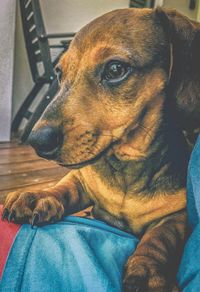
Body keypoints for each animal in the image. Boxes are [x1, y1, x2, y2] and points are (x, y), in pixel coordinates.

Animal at [2, 8, 200, 290]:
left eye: (115, 69)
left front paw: (147, 272)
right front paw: (38, 196)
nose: (37, 141)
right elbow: (66, 187)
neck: (126, 165)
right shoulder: (82, 180)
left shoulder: (178, 214)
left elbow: (160, 236)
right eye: (59, 73)